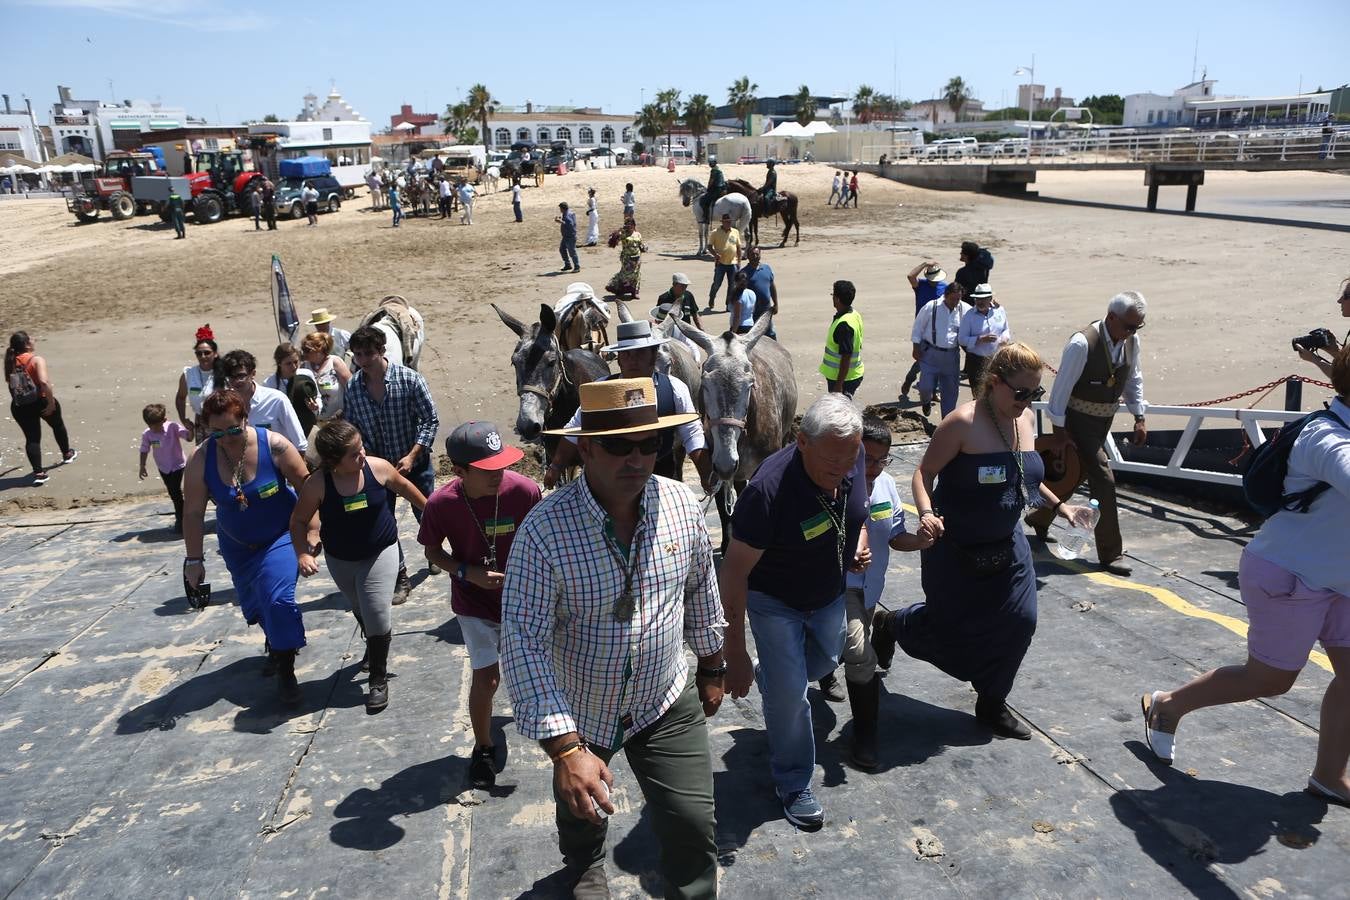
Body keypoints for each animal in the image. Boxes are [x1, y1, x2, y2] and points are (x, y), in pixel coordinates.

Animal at [672, 317, 788, 555]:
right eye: (704, 384)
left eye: (751, 384)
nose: (727, 464)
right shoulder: (713, 469)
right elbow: (722, 508)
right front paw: (727, 544)